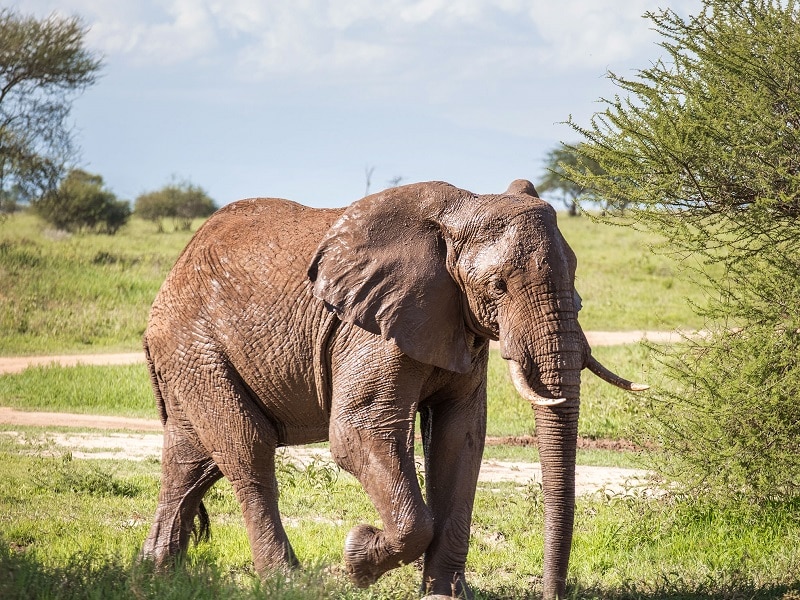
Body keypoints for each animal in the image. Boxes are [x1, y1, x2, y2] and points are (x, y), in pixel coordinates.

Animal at [141, 179, 648, 600]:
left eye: (575, 276)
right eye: (498, 285)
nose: (552, 594)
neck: (461, 209)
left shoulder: (456, 322)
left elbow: (460, 438)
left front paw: (445, 596)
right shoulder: (370, 328)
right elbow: (358, 434)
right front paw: (356, 557)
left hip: (192, 359)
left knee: (190, 460)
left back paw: (157, 579)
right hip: (196, 346)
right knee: (247, 450)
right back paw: (288, 583)